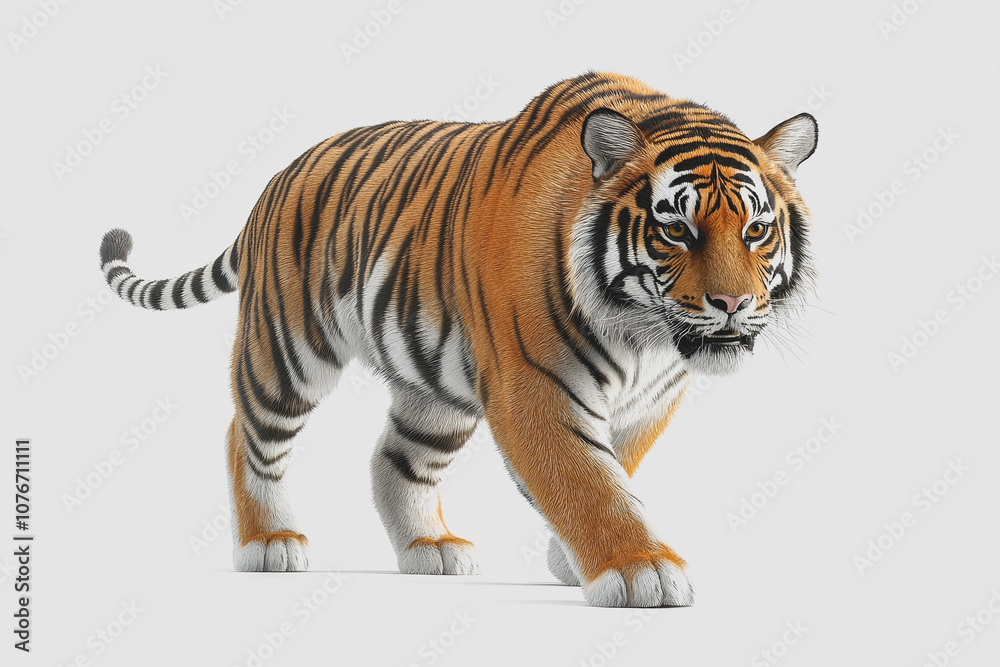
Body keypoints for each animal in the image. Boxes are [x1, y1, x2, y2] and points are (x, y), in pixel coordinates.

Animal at [97, 71, 817, 608]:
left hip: (435, 394)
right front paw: (640, 568)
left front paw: (571, 558)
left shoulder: (652, 401)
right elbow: (589, 479)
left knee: (394, 460)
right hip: (289, 351)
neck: (646, 336)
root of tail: (275, 181)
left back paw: (430, 549)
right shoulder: (536, 389)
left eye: (756, 231)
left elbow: (619, 466)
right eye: (677, 231)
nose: (734, 304)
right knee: (246, 434)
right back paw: (268, 541)